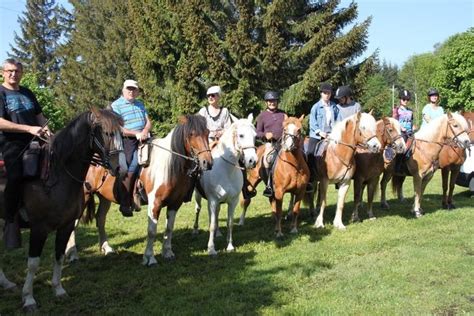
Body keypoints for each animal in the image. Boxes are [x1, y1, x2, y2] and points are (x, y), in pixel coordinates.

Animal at [67, 113, 213, 262]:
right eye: (191, 134)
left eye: (207, 133)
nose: (207, 162)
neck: (169, 166)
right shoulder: (155, 203)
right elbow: (152, 231)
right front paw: (149, 257)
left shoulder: (175, 203)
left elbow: (169, 228)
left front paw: (167, 252)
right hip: (85, 195)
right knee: (74, 223)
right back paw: (72, 253)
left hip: (104, 197)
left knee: (100, 219)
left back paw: (107, 248)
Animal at [193, 115, 258, 256]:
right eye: (241, 135)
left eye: (255, 136)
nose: (252, 161)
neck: (226, 169)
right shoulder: (212, 201)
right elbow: (211, 224)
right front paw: (211, 249)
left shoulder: (233, 201)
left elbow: (230, 223)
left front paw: (230, 246)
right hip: (198, 196)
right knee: (198, 209)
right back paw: (195, 229)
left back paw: (218, 233)